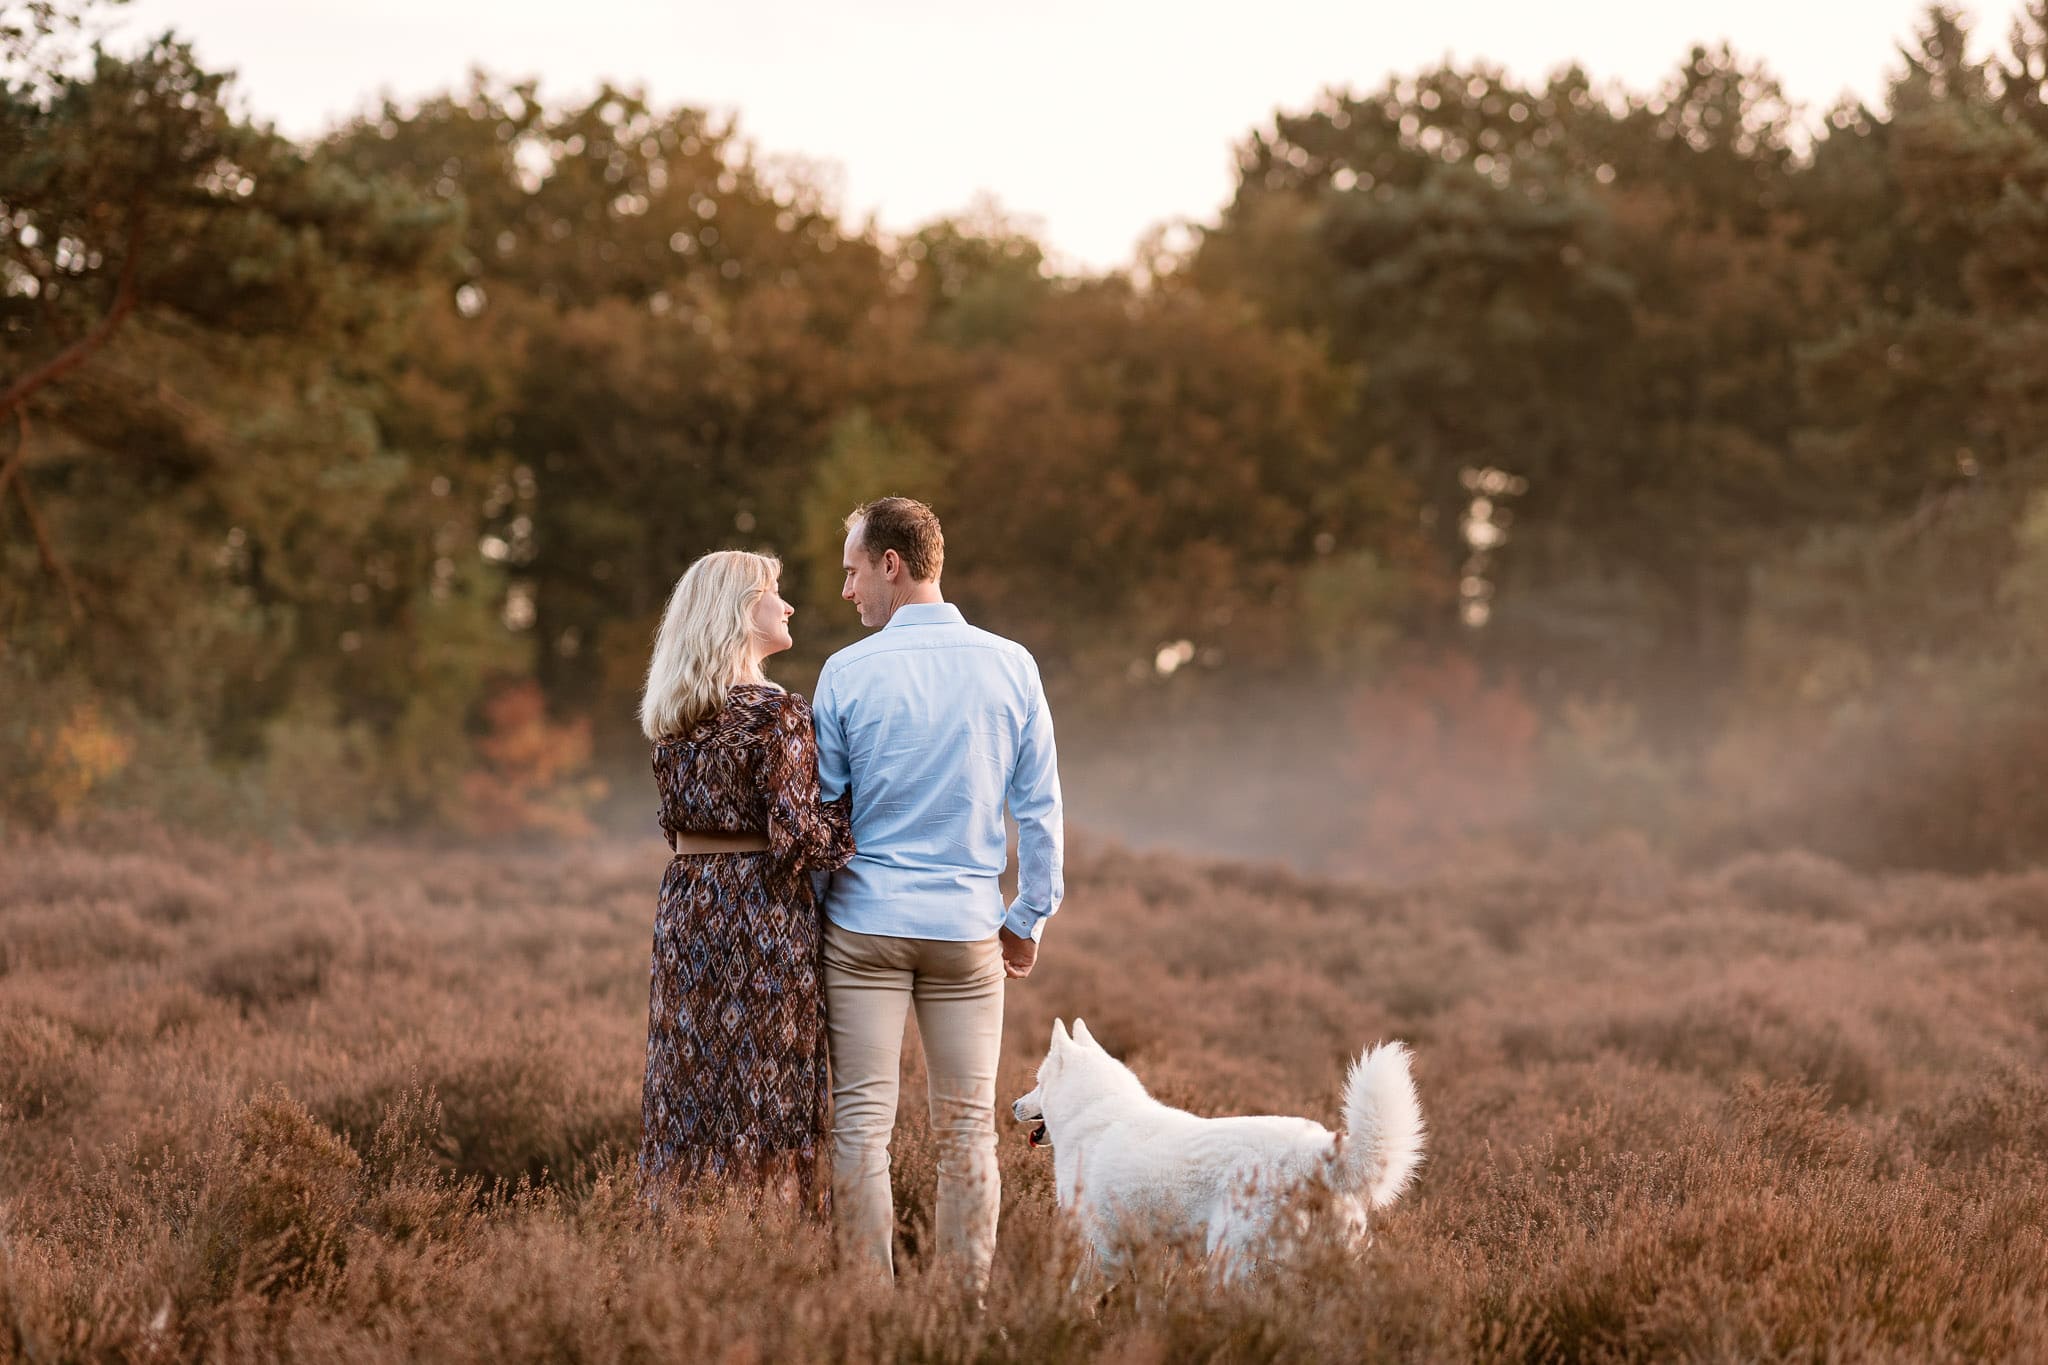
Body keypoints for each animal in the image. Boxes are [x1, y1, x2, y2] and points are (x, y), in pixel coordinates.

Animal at [1007, 1019, 1425, 1285]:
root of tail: (1318, 1151)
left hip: (1232, 1259)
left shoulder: (1104, 1243)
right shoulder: (1149, 1251)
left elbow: (1080, 1292)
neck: (1095, 1112)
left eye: (1038, 1083)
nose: (1013, 1105)